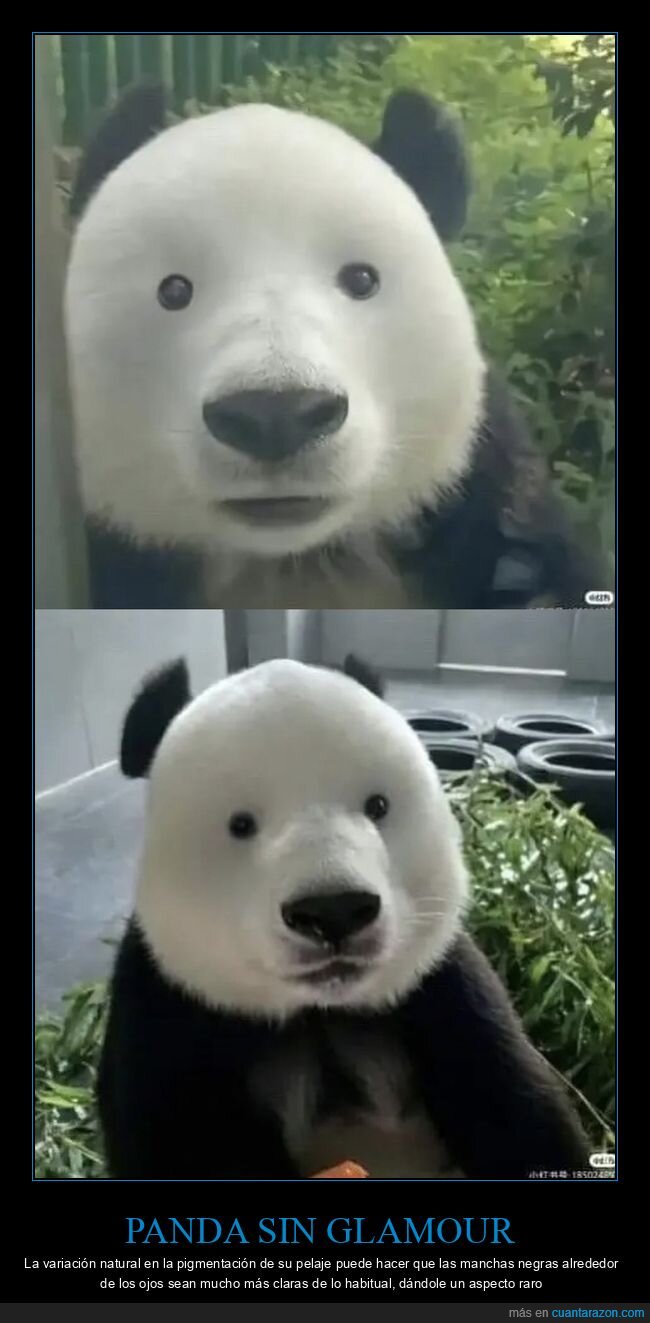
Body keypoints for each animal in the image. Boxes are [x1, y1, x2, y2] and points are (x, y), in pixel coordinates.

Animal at [97, 651, 589, 1179]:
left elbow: (522, 1114)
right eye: (241, 824)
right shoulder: (168, 1012)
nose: (333, 912)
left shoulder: (442, 988)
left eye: (377, 806)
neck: (320, 1012)